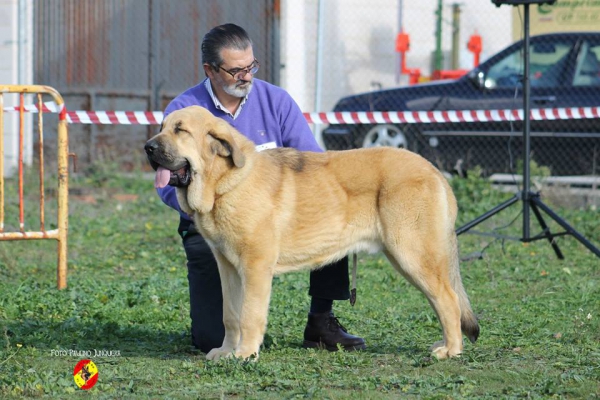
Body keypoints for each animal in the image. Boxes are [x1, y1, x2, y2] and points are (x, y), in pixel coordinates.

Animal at [145, 104, 478, 360]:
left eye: (180, 130)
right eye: (162, 127)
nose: (148, 147)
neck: (225, 183)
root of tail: (434, 171)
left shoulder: (255, 268)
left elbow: (250, 315)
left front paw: (246, 354)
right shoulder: (228, 269)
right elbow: (231, 316)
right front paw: (228, 351)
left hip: (412, 254)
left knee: (447, 299)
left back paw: (451, 350)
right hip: (408, 257)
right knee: (441, 300)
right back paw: (446, 344)